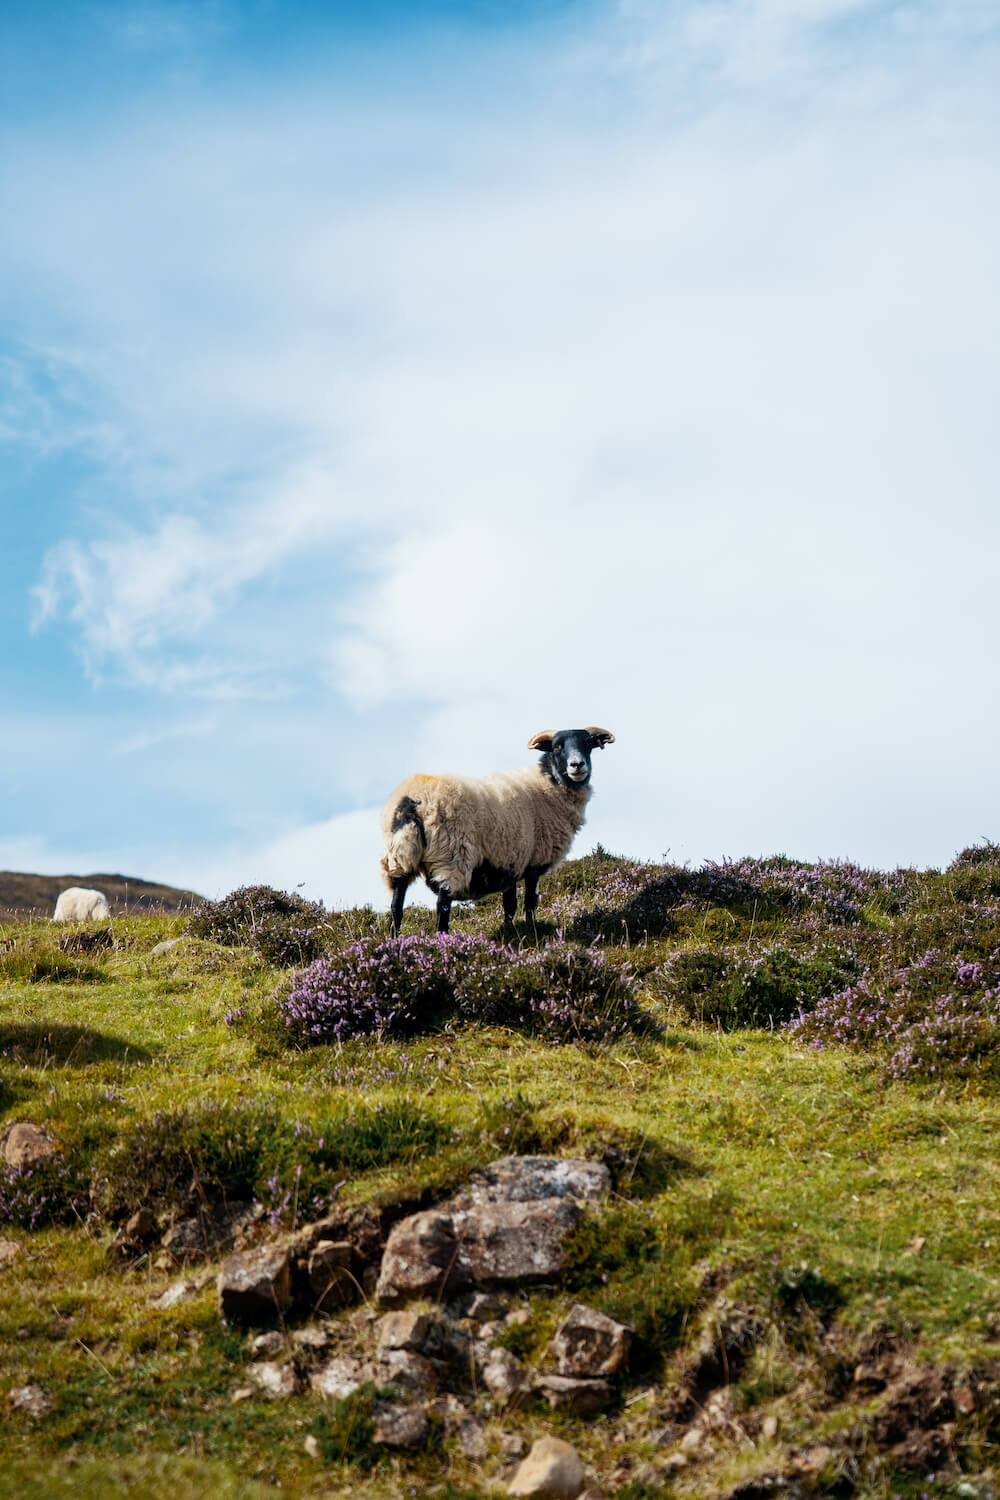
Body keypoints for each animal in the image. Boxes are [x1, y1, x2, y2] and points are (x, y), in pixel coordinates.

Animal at [379, 729, 614, 936]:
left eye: (587, 744)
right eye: (557, 746)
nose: (577, 765)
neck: (549, 784)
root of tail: (412, 801)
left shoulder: (510, 863)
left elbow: (509, 905)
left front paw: (511, 932)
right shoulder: (533, 862)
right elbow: (530, 902)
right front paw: (531, 929)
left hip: (398, 859)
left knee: (396, 906)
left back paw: (395, 941)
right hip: (450, 856)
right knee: (442, 906)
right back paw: (443, 941)